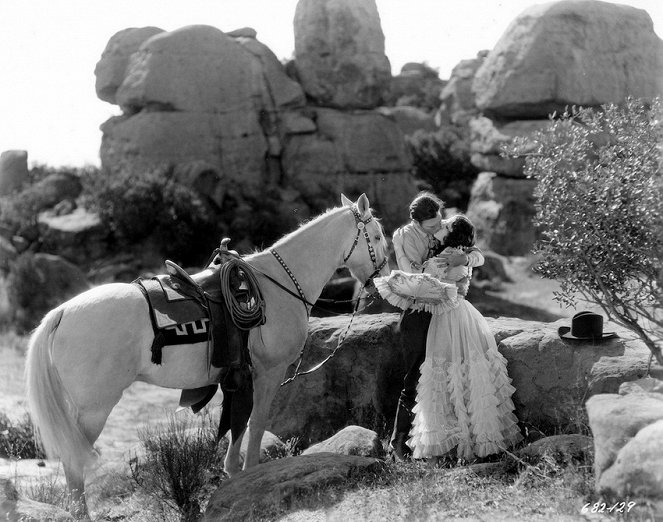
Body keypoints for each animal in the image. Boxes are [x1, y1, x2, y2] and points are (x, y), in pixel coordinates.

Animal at [24, 192, 390, 516]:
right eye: (376, 236)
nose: (380, 281)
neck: (278, 285)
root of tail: (62, 312)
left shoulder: (240, 378)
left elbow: (237, 424)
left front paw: (235, 475)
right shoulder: (269, 372)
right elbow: (256, 423)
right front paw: (253, 474)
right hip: (95, 409)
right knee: (74, 461)